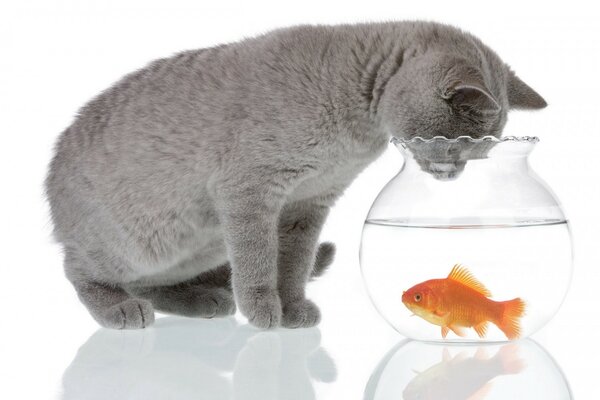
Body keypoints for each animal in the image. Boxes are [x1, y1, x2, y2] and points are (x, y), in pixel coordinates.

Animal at [44, 20, 548, 330]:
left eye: (480, 151)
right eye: (457, 144)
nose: (454, 176)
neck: (354, 131)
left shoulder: (309, 202)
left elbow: (294, 262)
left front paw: (292, 307)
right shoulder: (250, 191)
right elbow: (258, 259)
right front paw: (263, 308)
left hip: (197, 245)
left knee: (152, 281)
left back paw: (205, 298)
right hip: (140, 240)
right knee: (80, 269)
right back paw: (120, 307)